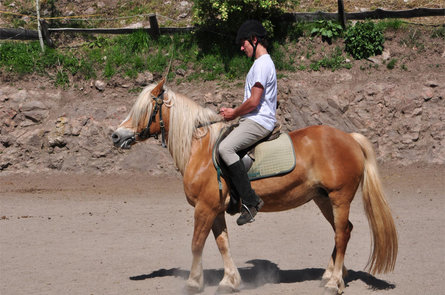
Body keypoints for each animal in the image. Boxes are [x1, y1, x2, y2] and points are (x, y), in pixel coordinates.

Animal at [110, 80, 396, 294]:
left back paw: (335, 282)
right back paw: (330, 274)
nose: (115, 135)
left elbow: (196, 244)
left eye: (144, 109)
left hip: (339, 198)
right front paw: (229, 281)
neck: (199, 149)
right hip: (323, 199)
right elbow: (222, 243)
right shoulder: (215, 209)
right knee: (343, 230)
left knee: (341, 234)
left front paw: (193, 282)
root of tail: (349, 138)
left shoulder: (204, 207)